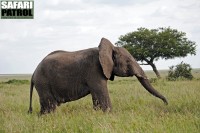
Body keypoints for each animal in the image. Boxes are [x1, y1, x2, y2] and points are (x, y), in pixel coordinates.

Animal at [27, 37, 167, 114]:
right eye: (128, 62)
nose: (166, 104)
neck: (108, 49)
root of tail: (33, 73)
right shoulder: (94, 70)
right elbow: (102, 96)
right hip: (43, 82)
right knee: (50, 106)